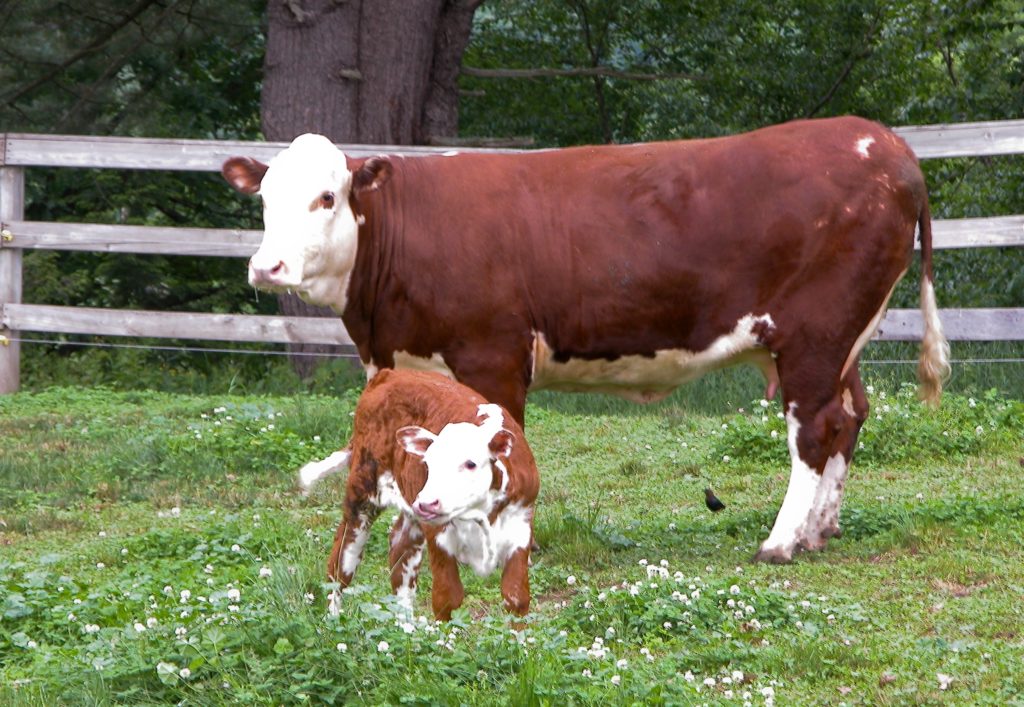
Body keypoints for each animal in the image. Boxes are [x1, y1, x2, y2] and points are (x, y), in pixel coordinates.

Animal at [224, 116, 950, 561]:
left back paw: (780, 541)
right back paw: (820, 530)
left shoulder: (493, 356)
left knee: (815, 430)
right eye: (263, 199)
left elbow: (498, 449)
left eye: (327, 197)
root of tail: (881, 140)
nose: (268, 267)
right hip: (844, 341)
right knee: (850, 416)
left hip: (814, 336)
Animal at [301, 366, 544, 618]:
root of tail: (389, 374)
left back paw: (406, 623)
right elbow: (447, 597)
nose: (427, 504)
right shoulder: (438, 534)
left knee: (400, 551)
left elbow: (516, 597)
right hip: (362, 491)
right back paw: (333, 617)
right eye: (427, 463)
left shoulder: (520, 527)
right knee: (342, 560)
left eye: (471, 463)